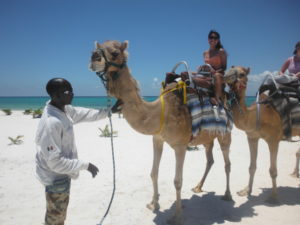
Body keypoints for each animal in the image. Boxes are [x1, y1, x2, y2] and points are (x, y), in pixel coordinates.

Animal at [89, 39, 232, 224]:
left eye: (115, 53)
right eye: (96, 49)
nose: (94, 57)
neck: (159, 112)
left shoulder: (180, 145)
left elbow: (178, 181)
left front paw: (177, 216)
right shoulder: (157, 139)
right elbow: (153, 173)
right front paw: (153, 204)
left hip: (225, 134)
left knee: (227, 163)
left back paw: (228, 195)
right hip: (208, 137)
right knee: (210, 159)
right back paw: (198, 187)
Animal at [223, 66, 300, 203]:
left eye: (242, 74)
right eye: (229, 69)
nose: (225, 76)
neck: (256, 116)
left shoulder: (273, 140)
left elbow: (273, 170)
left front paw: (273, 197)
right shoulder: (252, 137)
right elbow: (252, 167)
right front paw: (246, 190)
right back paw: (294, 173)